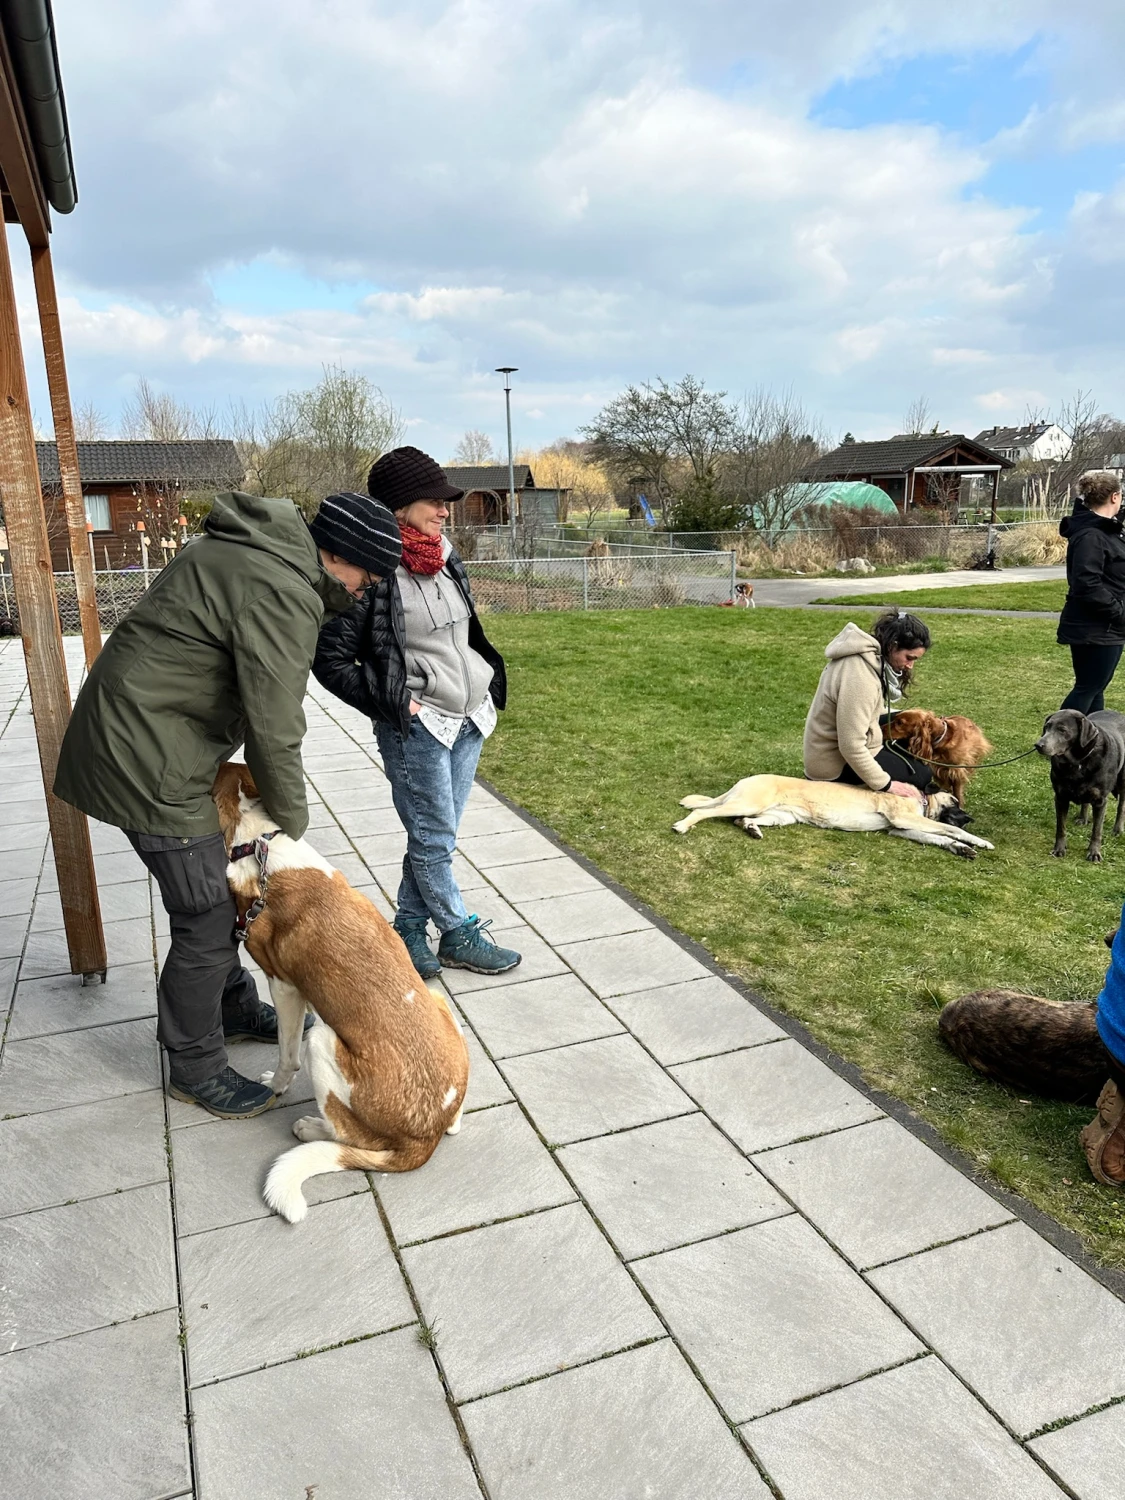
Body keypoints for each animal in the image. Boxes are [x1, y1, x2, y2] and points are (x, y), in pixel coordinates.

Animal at [213, 762, 471, 1218]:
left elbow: (287, 1056)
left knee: (347, 1135)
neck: (261, 845)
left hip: (322, 1038)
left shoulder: (284, 986)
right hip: (438, 998)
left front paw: (275, 1087)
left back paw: (310, 1126)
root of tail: (427, 1137)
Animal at [669, 774, 996, 858]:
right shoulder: (907, 820)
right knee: (704, 811)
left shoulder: (901, 828)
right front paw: (977, 840)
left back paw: (753, 830)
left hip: (780, 816)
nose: (970, 817)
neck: (920, 799)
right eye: (954, 800)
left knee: (743, 821)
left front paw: (962, 848)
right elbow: (948, 829)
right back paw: (682, 826)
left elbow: (938, 837)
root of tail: (745, 779)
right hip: (746, 802)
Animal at [1038, 708, 1125, 864]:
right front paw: (1059, 849)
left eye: (1062, 730)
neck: (1077, 762)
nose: (1038, 745)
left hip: (1123, 780)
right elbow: (1061, 827)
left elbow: (1097, 830)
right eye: (1047, 727)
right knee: (1085, 802)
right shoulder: (1060, 797)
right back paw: (1083, 818)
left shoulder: (1100, 800)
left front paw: (1094, 853)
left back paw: (1118, 829)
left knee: (1122, 805)